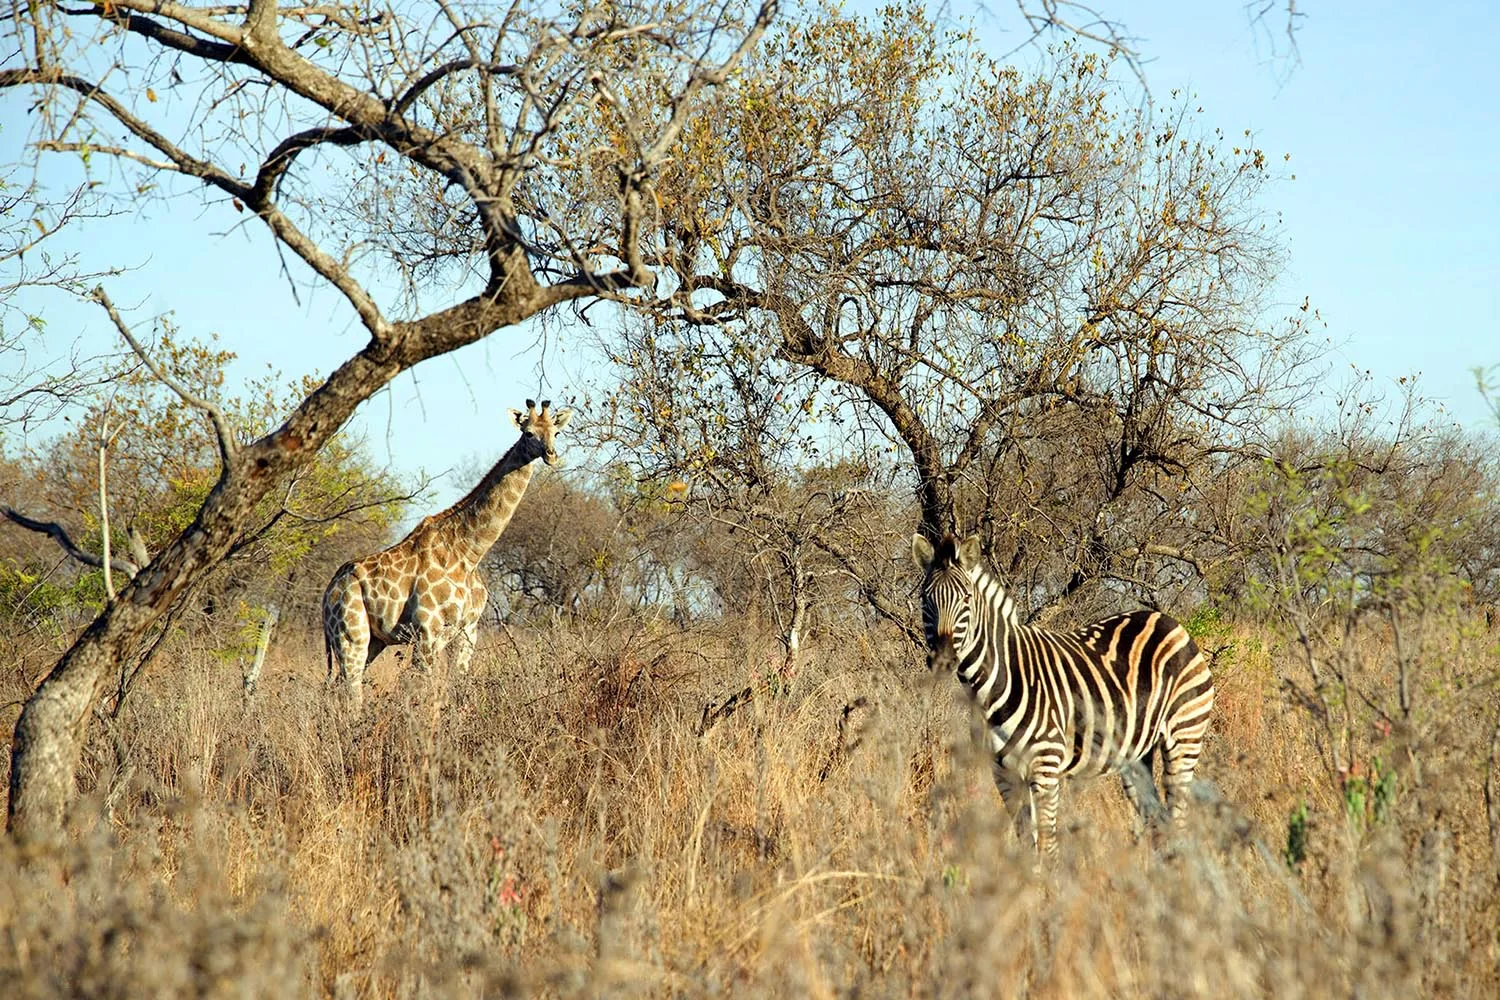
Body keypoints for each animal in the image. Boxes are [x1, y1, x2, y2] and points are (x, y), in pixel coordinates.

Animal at [321, 399, 571, 709]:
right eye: (528, 433)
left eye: (556, 433)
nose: (551, 455)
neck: (469, 551)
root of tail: (328, 593)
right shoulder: (427, 630)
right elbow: (422, 692)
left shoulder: (468, 631)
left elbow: (457, 688)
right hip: (350, 634)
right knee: (351, 691)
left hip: (372, 641)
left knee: (337, 688)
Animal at [911, 533, 1215, 860]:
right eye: (925, 599)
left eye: (966, 599)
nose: (943, 661)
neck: (994, 688)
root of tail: (1166, 620)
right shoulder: (1004, 775)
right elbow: (1027, 846)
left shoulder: (1045, 767)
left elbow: (1048, 848)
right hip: (1137, 755)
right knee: (1158, 821)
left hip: (1184, 737)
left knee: (1178, 820)